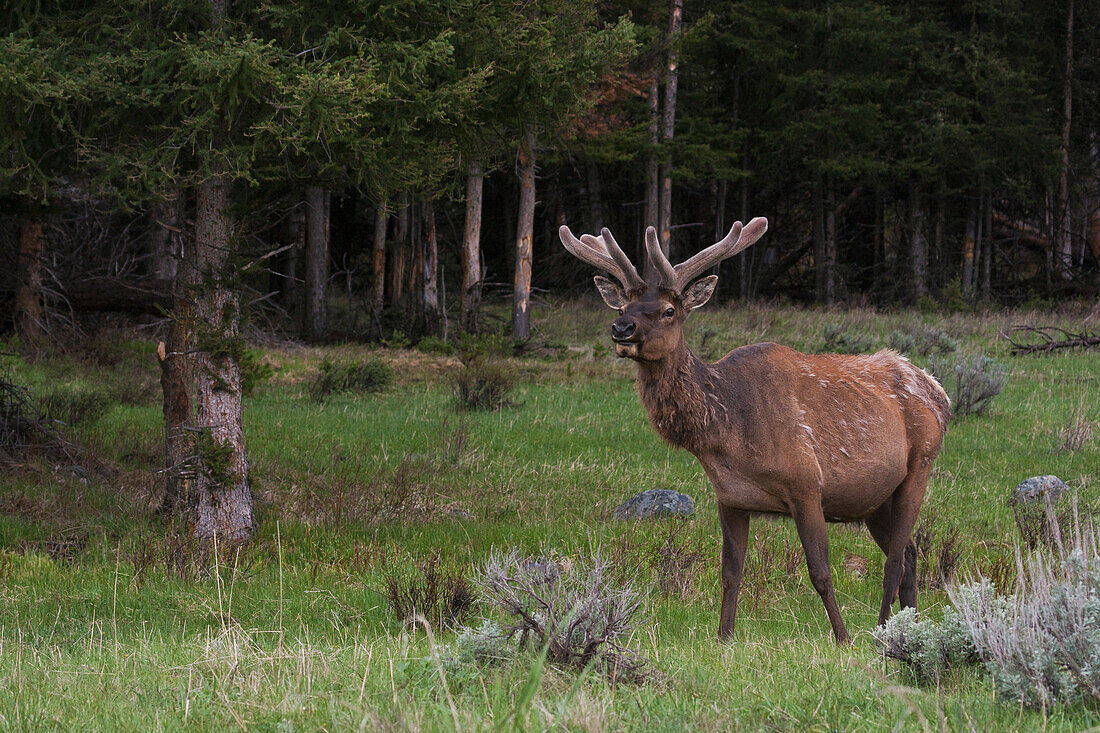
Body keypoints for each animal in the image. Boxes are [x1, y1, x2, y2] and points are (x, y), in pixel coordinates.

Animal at [563, 220, 950, 642]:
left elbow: (820, 572)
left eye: (669, 310)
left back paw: (882, 630)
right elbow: (730, 573)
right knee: (911, 553)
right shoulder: (730, 498)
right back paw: (908, 626)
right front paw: (724, 637)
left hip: (920, 465)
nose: (621, 327)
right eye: (622, 306)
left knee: (896, 559)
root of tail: (938, 391)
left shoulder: (805, 484)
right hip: (875, 497)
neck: (728, 437)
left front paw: (842, 637)